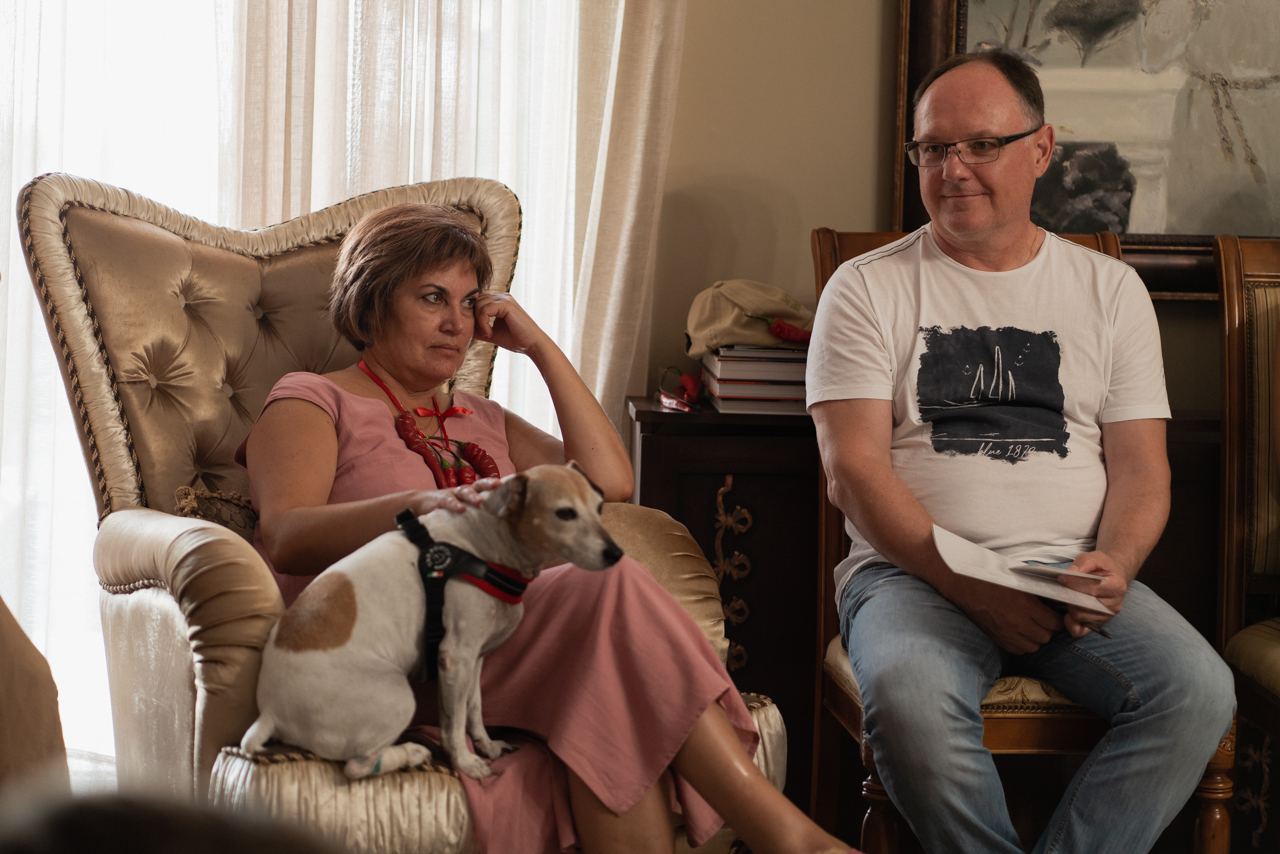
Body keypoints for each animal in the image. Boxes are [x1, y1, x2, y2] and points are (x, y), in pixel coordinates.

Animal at [241, 463, 624, 780]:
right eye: (565, 513)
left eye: (599, 507)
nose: (617, 553)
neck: (486, 541)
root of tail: (270, 711)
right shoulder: (455, 657)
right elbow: (453, 726)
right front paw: (467, 763)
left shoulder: (474, 658)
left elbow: (473, 709)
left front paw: (486, 746)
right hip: (398, 698)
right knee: (357, 766)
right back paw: (410, 753)